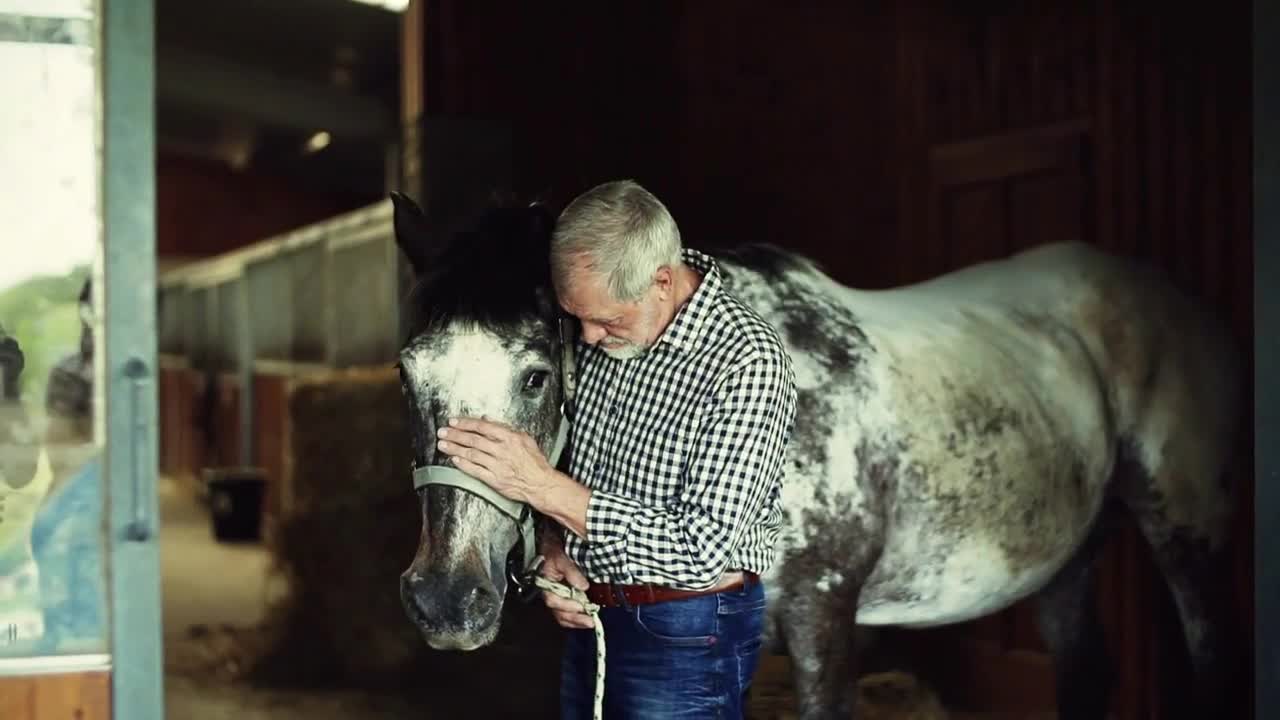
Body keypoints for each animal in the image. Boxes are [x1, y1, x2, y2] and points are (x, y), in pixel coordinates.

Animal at [389, 192, 1239, 717]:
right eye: (407, 373)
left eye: (535, 375)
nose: (445, 600)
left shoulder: (824, 618)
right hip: (1065, 567)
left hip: (1189, 540)